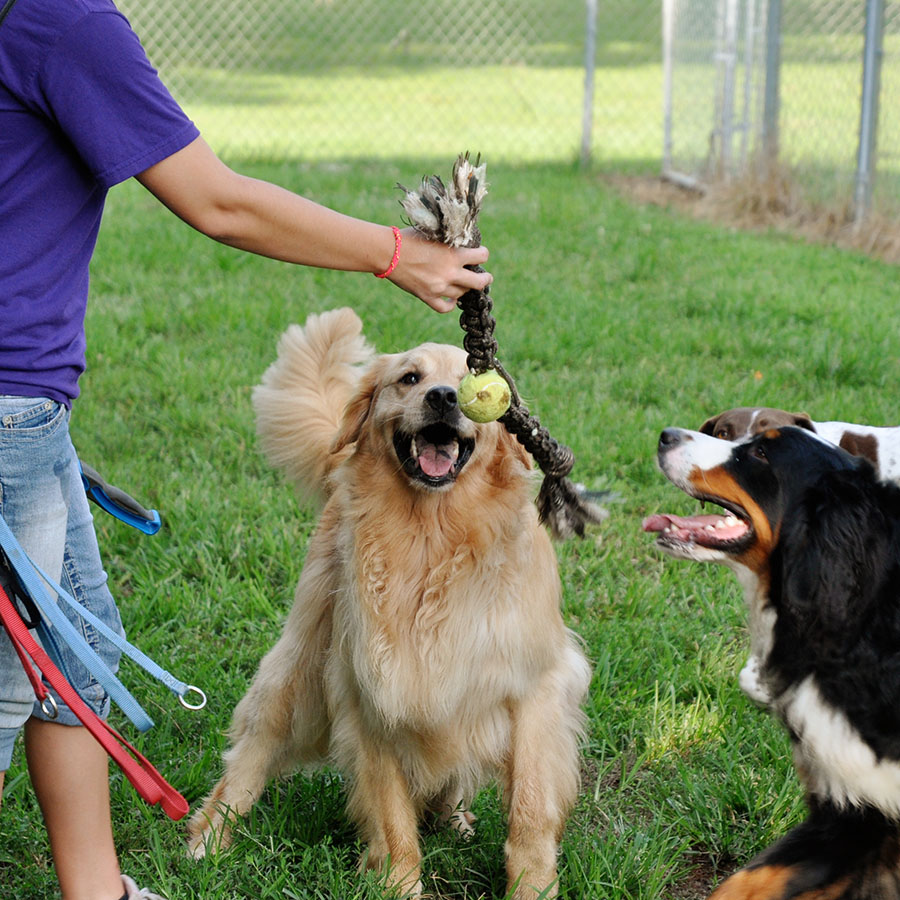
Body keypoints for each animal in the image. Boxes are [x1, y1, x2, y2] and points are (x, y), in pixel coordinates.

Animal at [190, 306, 592, 896]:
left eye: (468, 373)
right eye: (409, 378)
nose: (445, 397)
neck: (433, 541)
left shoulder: (533, 688)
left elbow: (530, 809)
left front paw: (532, 886)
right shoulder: (370, 692)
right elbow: (392, 816)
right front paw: (399, 883)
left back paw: (453, 815)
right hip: (300, 663)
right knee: (250, 756)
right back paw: (207, 840)